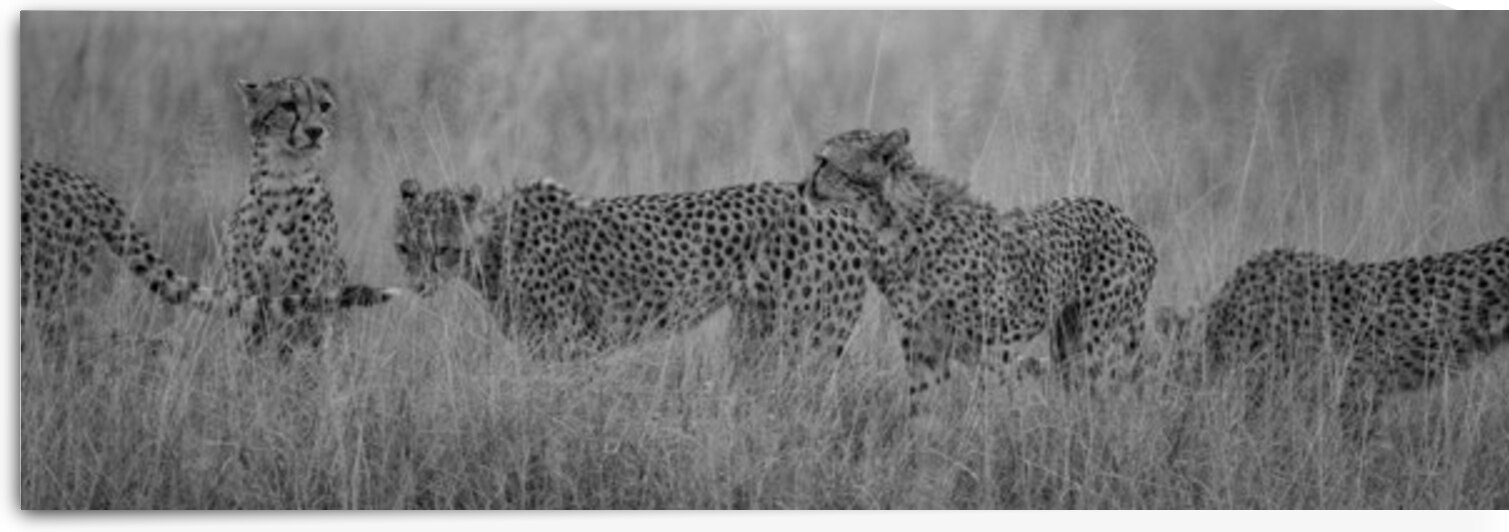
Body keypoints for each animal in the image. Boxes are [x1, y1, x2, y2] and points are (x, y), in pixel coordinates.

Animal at [394, 176, 876, 363]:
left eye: (443, 249)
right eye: (403, 248)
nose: (419, 285)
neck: (495, 243)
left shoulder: (574, 347)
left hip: (807, 339)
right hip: (757, 332)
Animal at [802, 127, 1158, 398]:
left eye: (824, 162)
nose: (803, 185)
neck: (892, 230)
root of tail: (1127, 219)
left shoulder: (995, 348)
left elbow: (991, 408)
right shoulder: (924, 348)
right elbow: (925, 411)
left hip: (1100, 341)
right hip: (1067, 341)